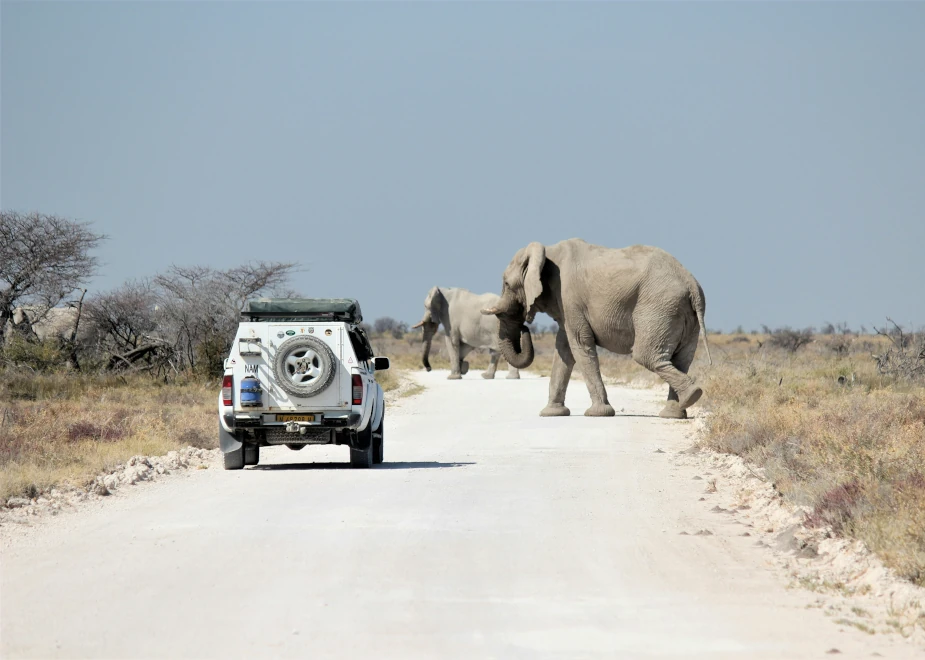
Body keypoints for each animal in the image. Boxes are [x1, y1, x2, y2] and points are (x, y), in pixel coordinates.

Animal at [480, 240, 712, 420]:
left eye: (506, 284)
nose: (525, 329)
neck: (547, 251)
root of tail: (692, 284)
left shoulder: (569, 298)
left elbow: (579, 345)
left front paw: (597, 413)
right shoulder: (566, 306)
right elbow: (564, 349)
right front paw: (551, 413)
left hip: (659, 307)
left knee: (646, 355)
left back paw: (692, 395)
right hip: (682, 314)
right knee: (680, 359)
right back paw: (676, 412)